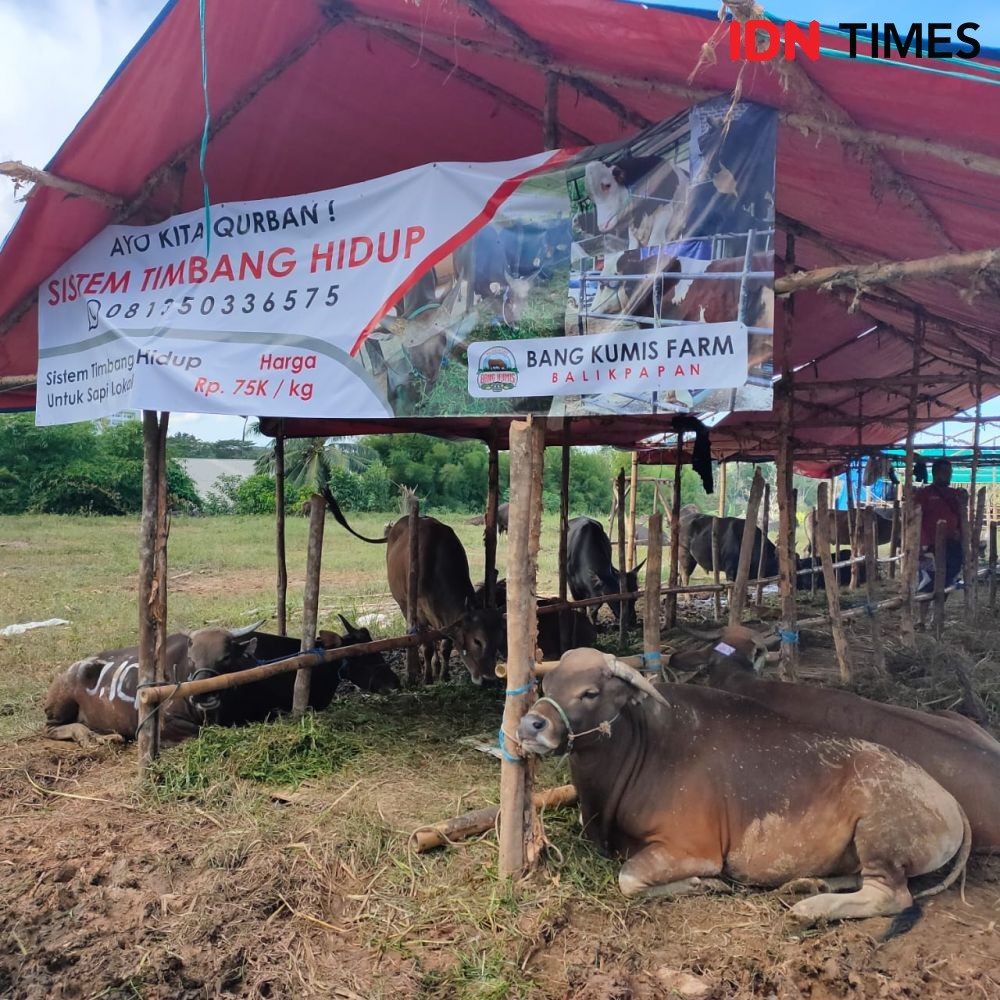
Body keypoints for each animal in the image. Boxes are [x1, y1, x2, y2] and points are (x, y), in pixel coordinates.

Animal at [43, 624, 262, 744]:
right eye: (191, 658)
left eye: (225, 657)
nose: (202, 695)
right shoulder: (165, 722)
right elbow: (201, 730)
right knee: (51, 728)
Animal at [520, 652, 972, 932]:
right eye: (547, 683)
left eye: (590, 692)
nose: (530, 725)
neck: (644, 747)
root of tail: (950, 802)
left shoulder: (694, 851)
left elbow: (628, 879)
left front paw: (707, 885)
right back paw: (807, 885)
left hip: (879, 840)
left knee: (892, 896)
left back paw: (809, 909)